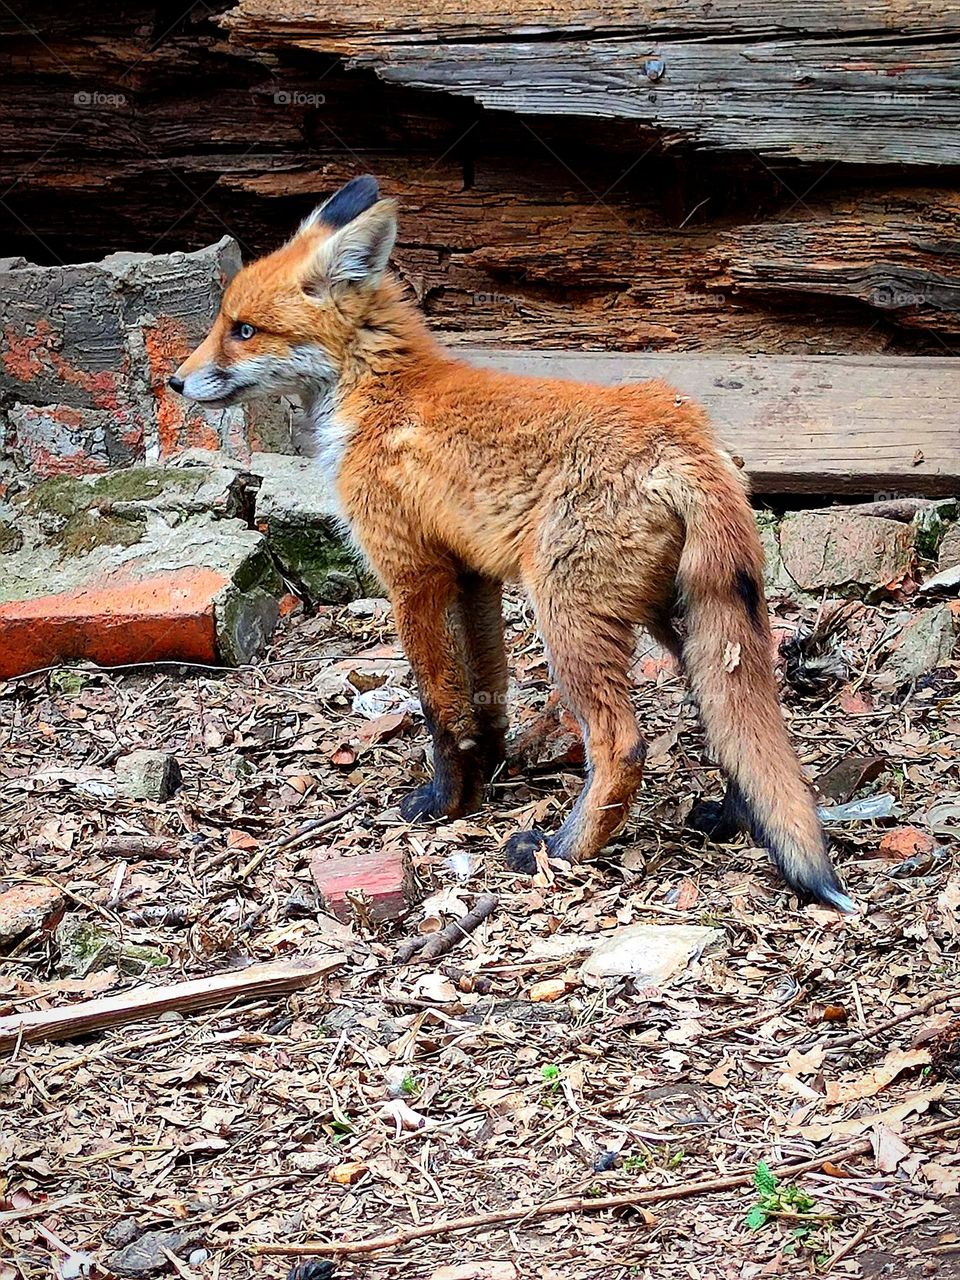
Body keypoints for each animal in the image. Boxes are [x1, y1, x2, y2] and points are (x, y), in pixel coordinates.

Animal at [171, 175, 855, 911]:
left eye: (243, 330)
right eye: (225, 323)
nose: (175, 381)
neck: (376, 395)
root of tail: (682, 434)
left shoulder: (412, 573)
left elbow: (439, 706)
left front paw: (443, 803)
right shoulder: (473, 574)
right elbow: (485, 692)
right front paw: (488, 775)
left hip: (568, 616)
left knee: (624, 745)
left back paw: (561, 851)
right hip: (679, 619)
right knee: (741, 722)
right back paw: (733, 817)